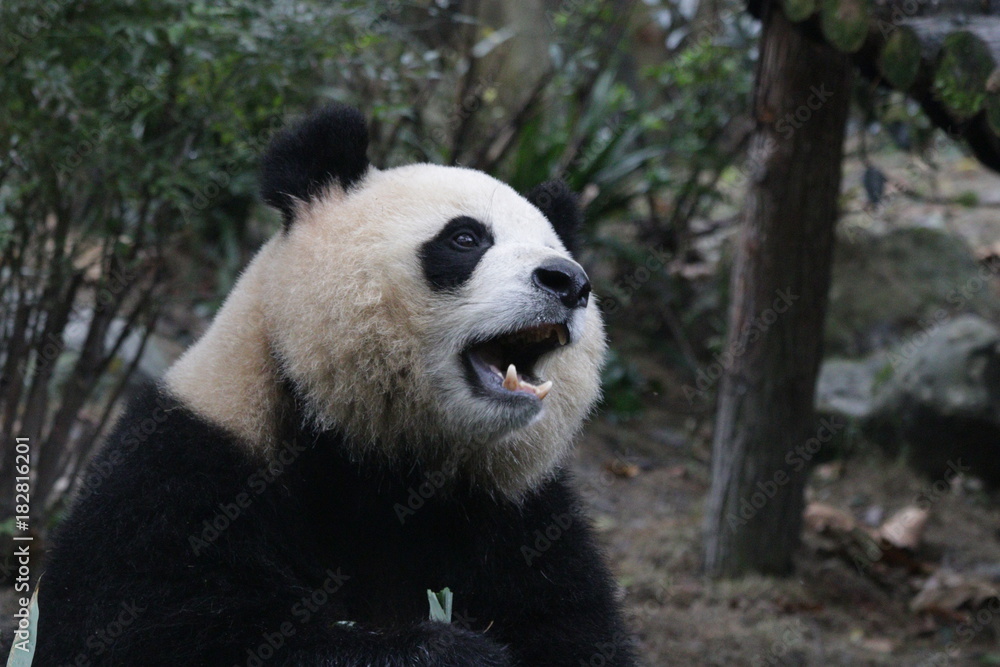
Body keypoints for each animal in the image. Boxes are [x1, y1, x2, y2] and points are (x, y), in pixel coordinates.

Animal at [32, 105, 636, 666]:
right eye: (466, 238)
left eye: (557, 249)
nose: (568, 281)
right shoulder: (187, 465)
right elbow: (154, 623)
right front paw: (447, 650)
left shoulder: (517, 515)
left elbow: (574, 627)